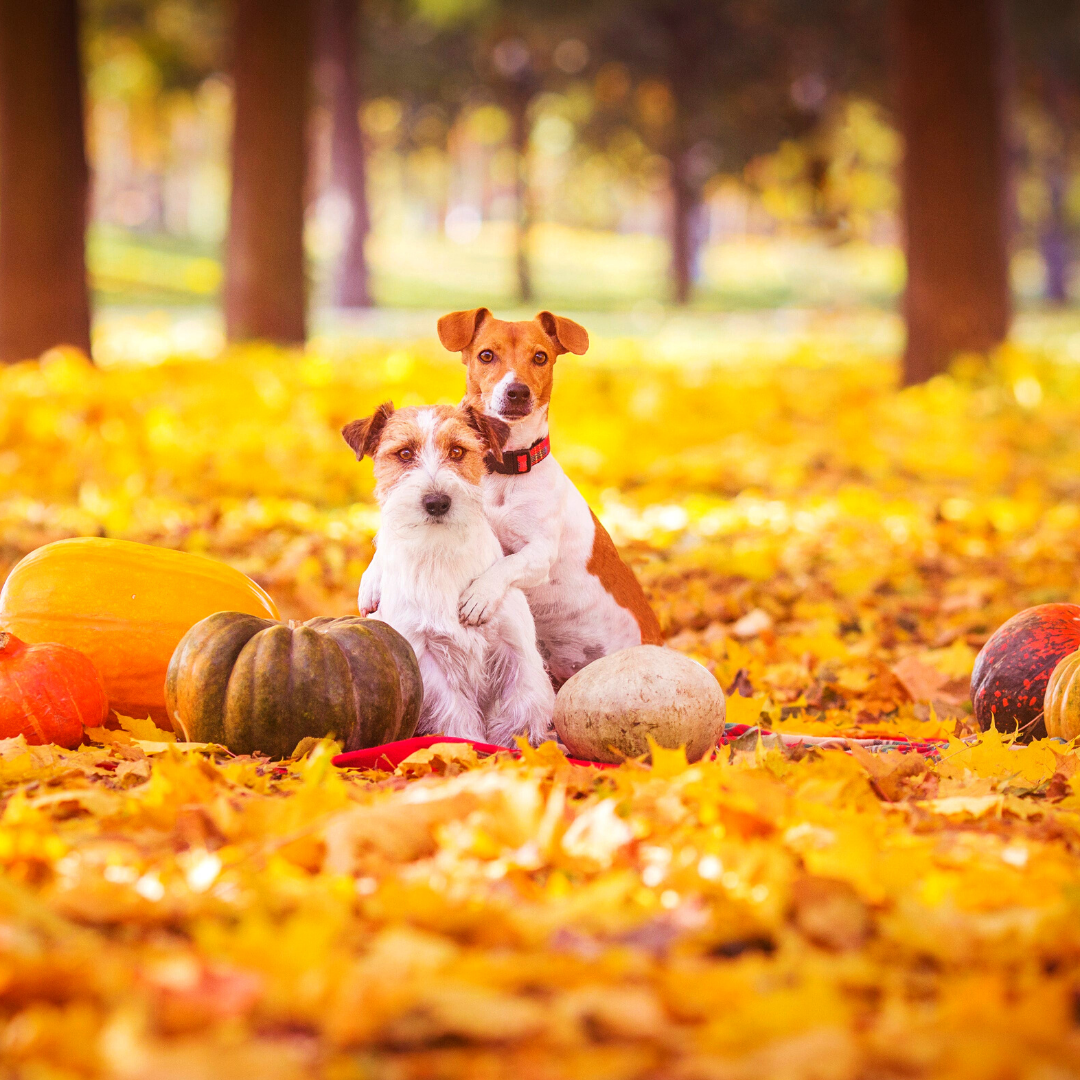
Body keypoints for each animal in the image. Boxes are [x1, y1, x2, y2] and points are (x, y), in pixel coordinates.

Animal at [343, 401, 552, 747]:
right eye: (404, 453)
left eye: (457, 451)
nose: (437, 502)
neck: (439, 552)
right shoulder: (425, 656)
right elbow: (454, 710)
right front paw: (468, 746)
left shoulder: (514, 645)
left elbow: (522, 702)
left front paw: (517, 746)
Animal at [356, 308, 656, 686]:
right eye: (487, 355)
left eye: (540, 357)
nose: (517, 391)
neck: (502, 470)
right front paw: (371, 579)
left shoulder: (540, 552)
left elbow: (507, 564)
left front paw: (478, 596)